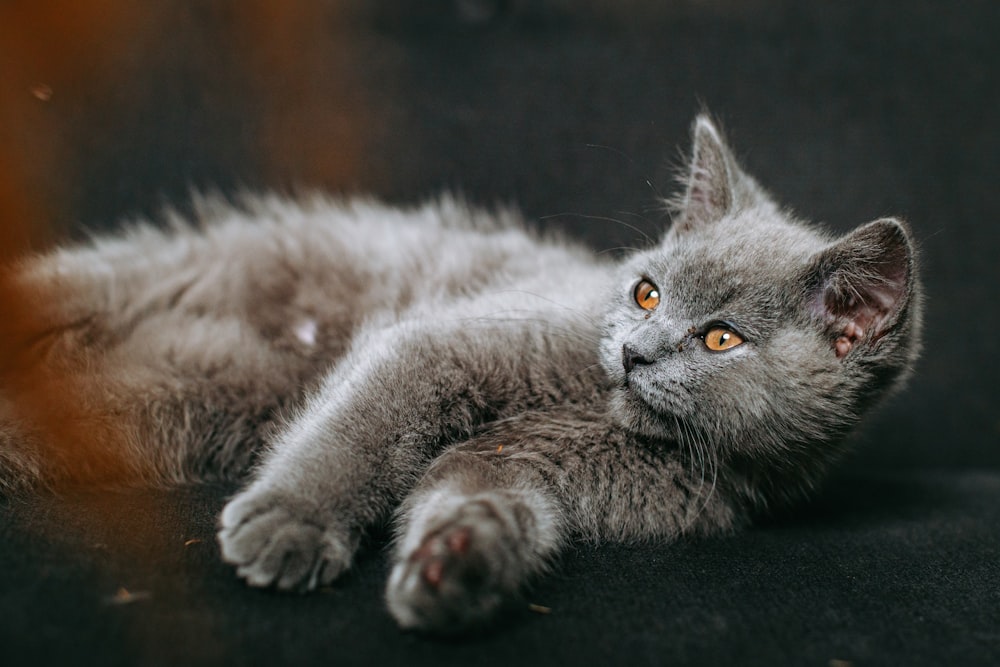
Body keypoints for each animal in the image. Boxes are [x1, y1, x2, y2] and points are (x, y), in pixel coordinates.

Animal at [0, 117, 920, 636]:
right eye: (645, 293)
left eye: (720, 338)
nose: (635, 352)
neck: (600, 415)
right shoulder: (445, 342)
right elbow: (363, 428)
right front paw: (294, 520)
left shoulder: (526, 466)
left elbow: (474, 491)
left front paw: (456, 565)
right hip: (136, 286)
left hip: (165, 399)